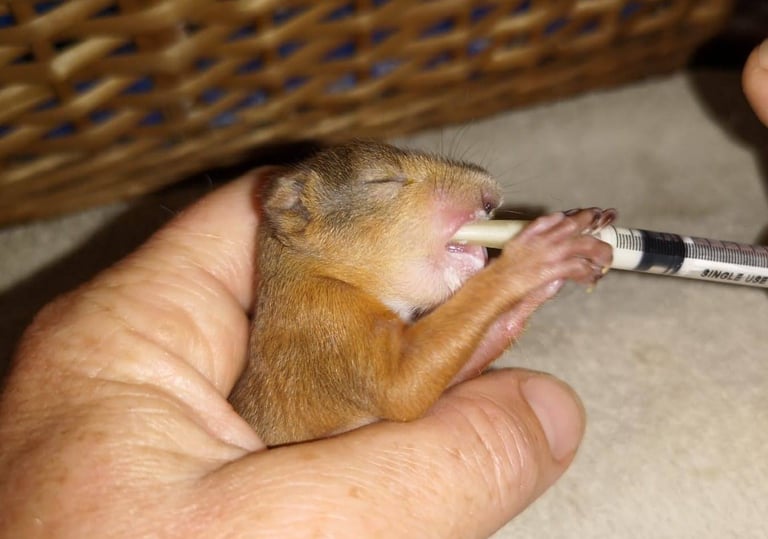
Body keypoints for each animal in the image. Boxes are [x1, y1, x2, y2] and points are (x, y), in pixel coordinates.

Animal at [229, 140, 616, 445]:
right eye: (383, 180)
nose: (490, 196)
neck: (311, 271)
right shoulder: (321, 321)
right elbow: (402, 387)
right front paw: (537, 257)